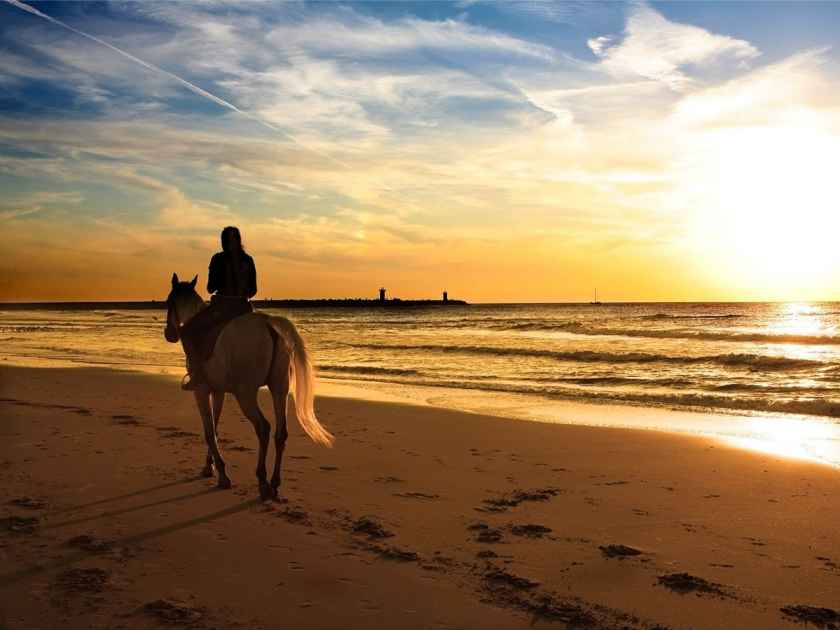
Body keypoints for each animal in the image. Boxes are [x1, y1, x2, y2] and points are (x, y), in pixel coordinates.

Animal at [162, 274, 334, 502]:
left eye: (168, 301)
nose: (169, 334)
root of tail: (269, 324)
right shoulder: (218, 391)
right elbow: (215, 428)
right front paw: (210, 467)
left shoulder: (201, 391)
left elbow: (209, 430)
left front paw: (222, 474)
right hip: (279, 389)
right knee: (280, 433)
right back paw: (274, 483)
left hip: (246, 394)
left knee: (263, 427)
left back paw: (262, 482)